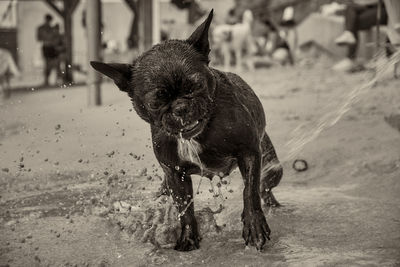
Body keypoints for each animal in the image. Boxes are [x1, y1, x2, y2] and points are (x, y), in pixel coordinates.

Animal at [91, 10, 282, 252]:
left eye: (196, 85)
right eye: (156, 102)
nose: (181, 107)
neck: (198, 135)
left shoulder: (248, 153)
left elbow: (249, 191)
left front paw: (254, 225)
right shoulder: (175, 173)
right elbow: (184, 208)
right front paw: (188, 237)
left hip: (271, 166)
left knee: (263, 188)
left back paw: (273, 205)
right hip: (166, 182)